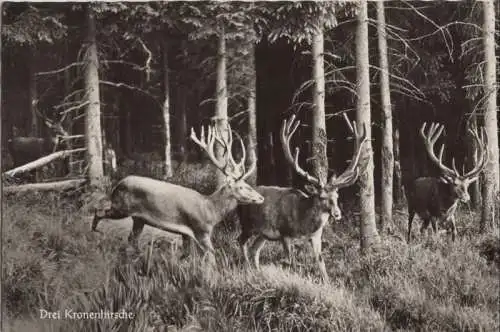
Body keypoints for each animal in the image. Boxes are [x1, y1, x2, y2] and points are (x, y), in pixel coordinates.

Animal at [94, 122, 266, 262]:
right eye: (242, 187)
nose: (261, 197)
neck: (210, 211)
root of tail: (117, 184)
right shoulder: (201, 230)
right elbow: (211, 257)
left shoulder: (186, 234)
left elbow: (186, 255)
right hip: (121, 207)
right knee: (99, 212)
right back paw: (95, 233)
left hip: (138, 218)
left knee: (131, 239)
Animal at [236, 115, 366, 282]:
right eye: (322, 196)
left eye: (337, 195)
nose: (337, 213)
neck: (304, 223)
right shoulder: (285, 234)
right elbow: (291, 263)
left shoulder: (316, 237)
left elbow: (321, 262)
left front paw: (326, 282)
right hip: (247, 224)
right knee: (241, 241)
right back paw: (247, 269)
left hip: (263, 233)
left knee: (254, 249)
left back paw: (256, 272)